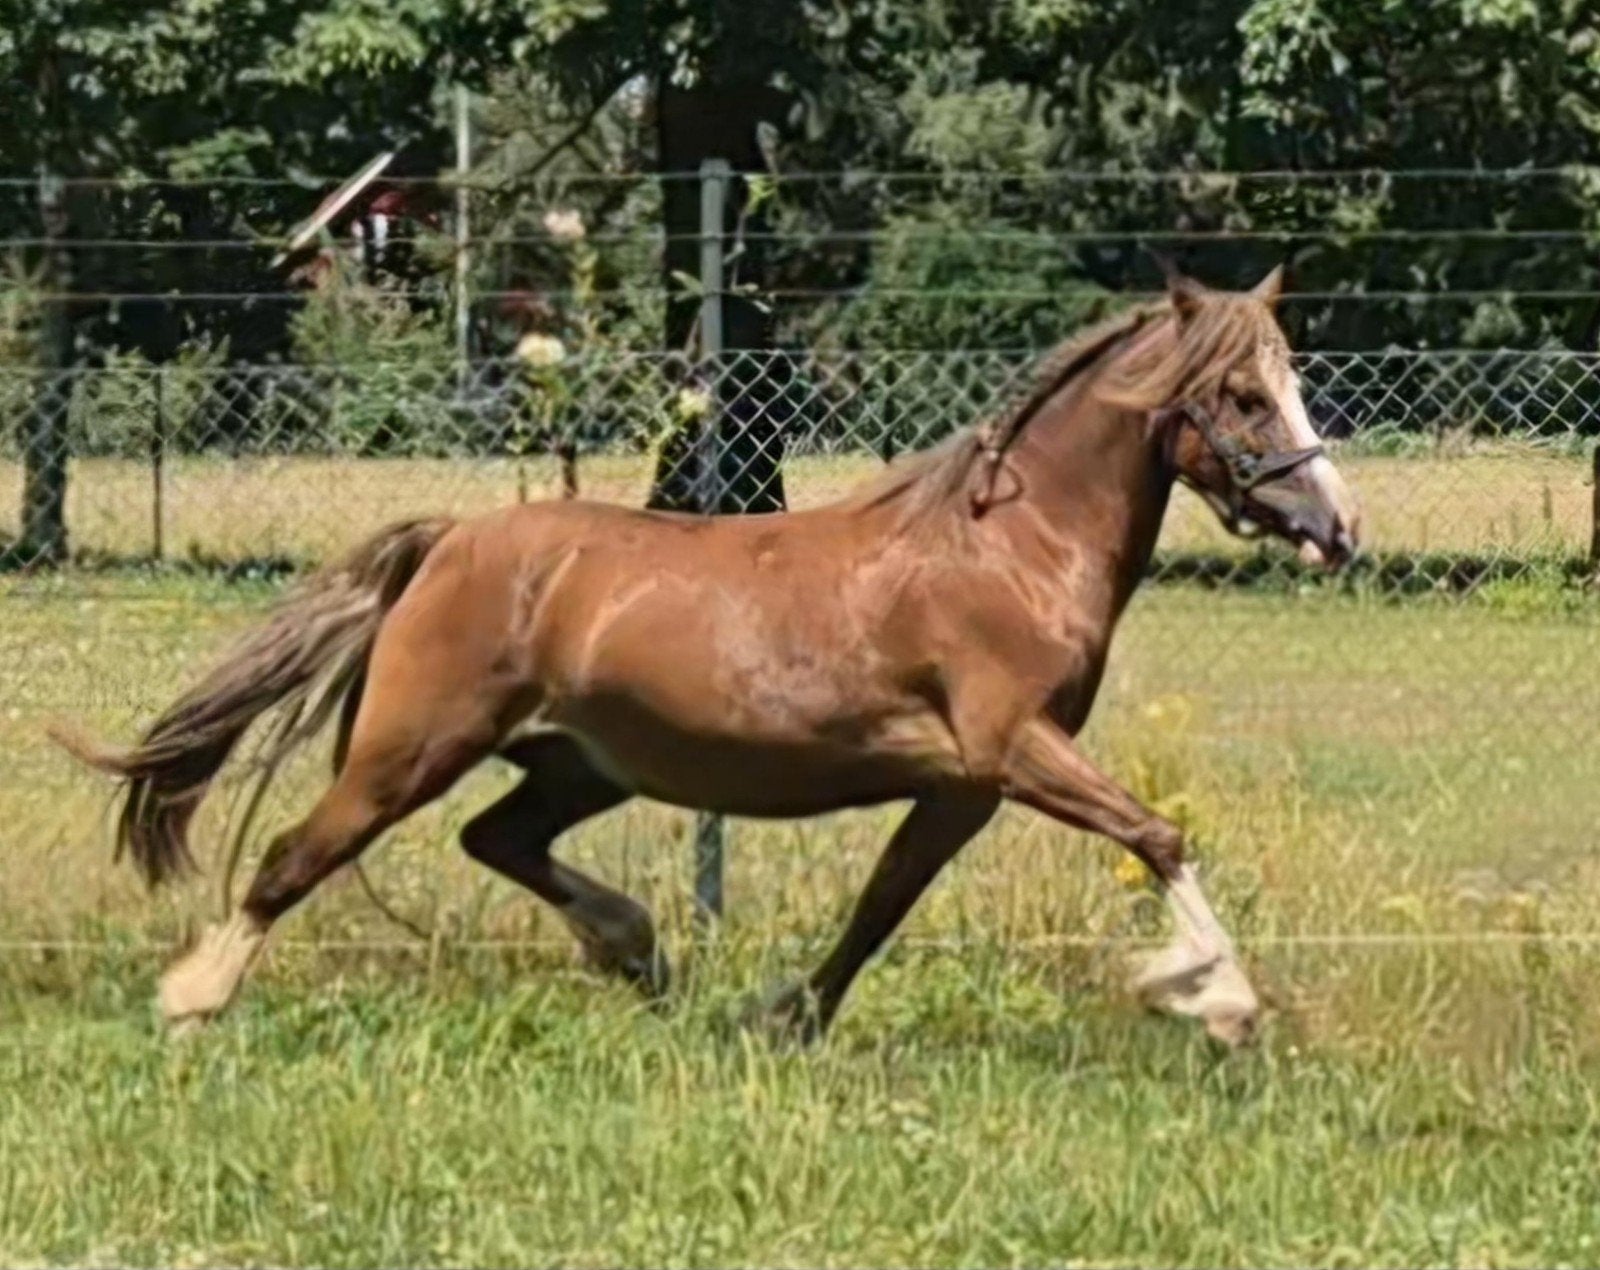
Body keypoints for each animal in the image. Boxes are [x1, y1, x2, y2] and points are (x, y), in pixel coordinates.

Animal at [56, 265, 1360, 1047]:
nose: (1337, 526)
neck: (1011, 549)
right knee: (296, 853)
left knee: (500, 839)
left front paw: (784, 1021)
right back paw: (192, 999)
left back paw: (635, 951)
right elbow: (1157, 834)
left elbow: (881, 906)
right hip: (411, 748)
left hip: (579, 763)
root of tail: (450, 539)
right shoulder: (1010, 749)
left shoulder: (960, 787)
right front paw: (1218, 1001)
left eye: (1287, 383)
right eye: (1244, 396)